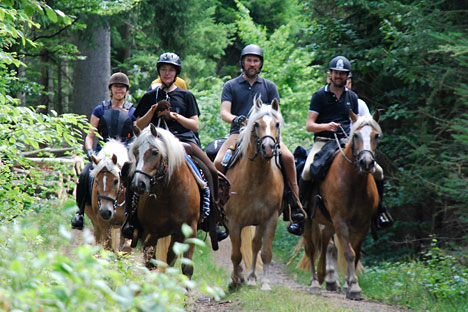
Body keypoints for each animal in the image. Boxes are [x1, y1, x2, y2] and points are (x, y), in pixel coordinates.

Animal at [128, 124, 201, 278]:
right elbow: (149, 263)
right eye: (136, 152)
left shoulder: (190, 230)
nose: (138, 184)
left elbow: (186, 268)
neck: (171, 193)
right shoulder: (151, 232)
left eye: (155, 152)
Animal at [224, 97, 284, 290]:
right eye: (256, 124)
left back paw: (251, 278)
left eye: (277, 124)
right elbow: (236, 254)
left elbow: (266, 252)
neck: (256, 179)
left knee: (255, 244)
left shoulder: (271, 218)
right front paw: (235, 279)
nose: (268, 148)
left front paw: (264, 283)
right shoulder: (234, 222)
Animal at [300, 109, 380, 300]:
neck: (354, 183)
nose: (367, 163)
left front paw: (350, 286)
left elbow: (355, 253)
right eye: (356, 135)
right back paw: (315, 283)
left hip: (328, 223)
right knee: (312, 248)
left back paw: (324, 276)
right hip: (309, 220)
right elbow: (348, 253)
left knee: (325, 242)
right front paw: (354, 288)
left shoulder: (362, 224)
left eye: (376, 136)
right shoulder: (341, 221)